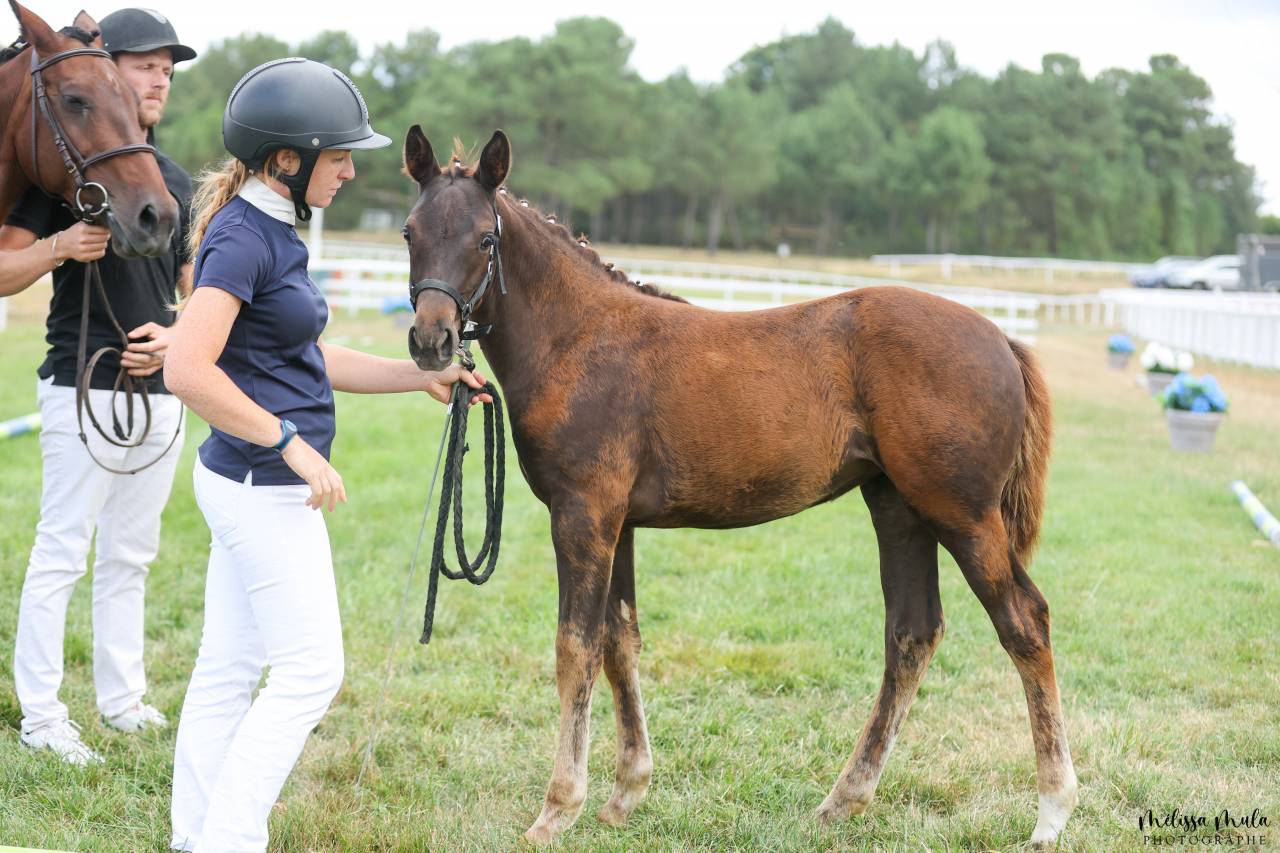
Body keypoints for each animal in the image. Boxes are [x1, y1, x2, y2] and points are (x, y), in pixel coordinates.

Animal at [400, 126, 1078, 848]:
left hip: (963, 514)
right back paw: (844, 798)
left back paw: (1051, 810)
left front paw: (558, 808)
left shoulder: (583, 516)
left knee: (1024, 622)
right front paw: (625, 793)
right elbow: (619, 640)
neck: (578, 339)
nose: (431, 338)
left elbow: (574, 647)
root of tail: (1000, 336)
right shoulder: (619, 523)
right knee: (912, 633)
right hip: (900, 509)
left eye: (485, 239)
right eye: (411, 231)